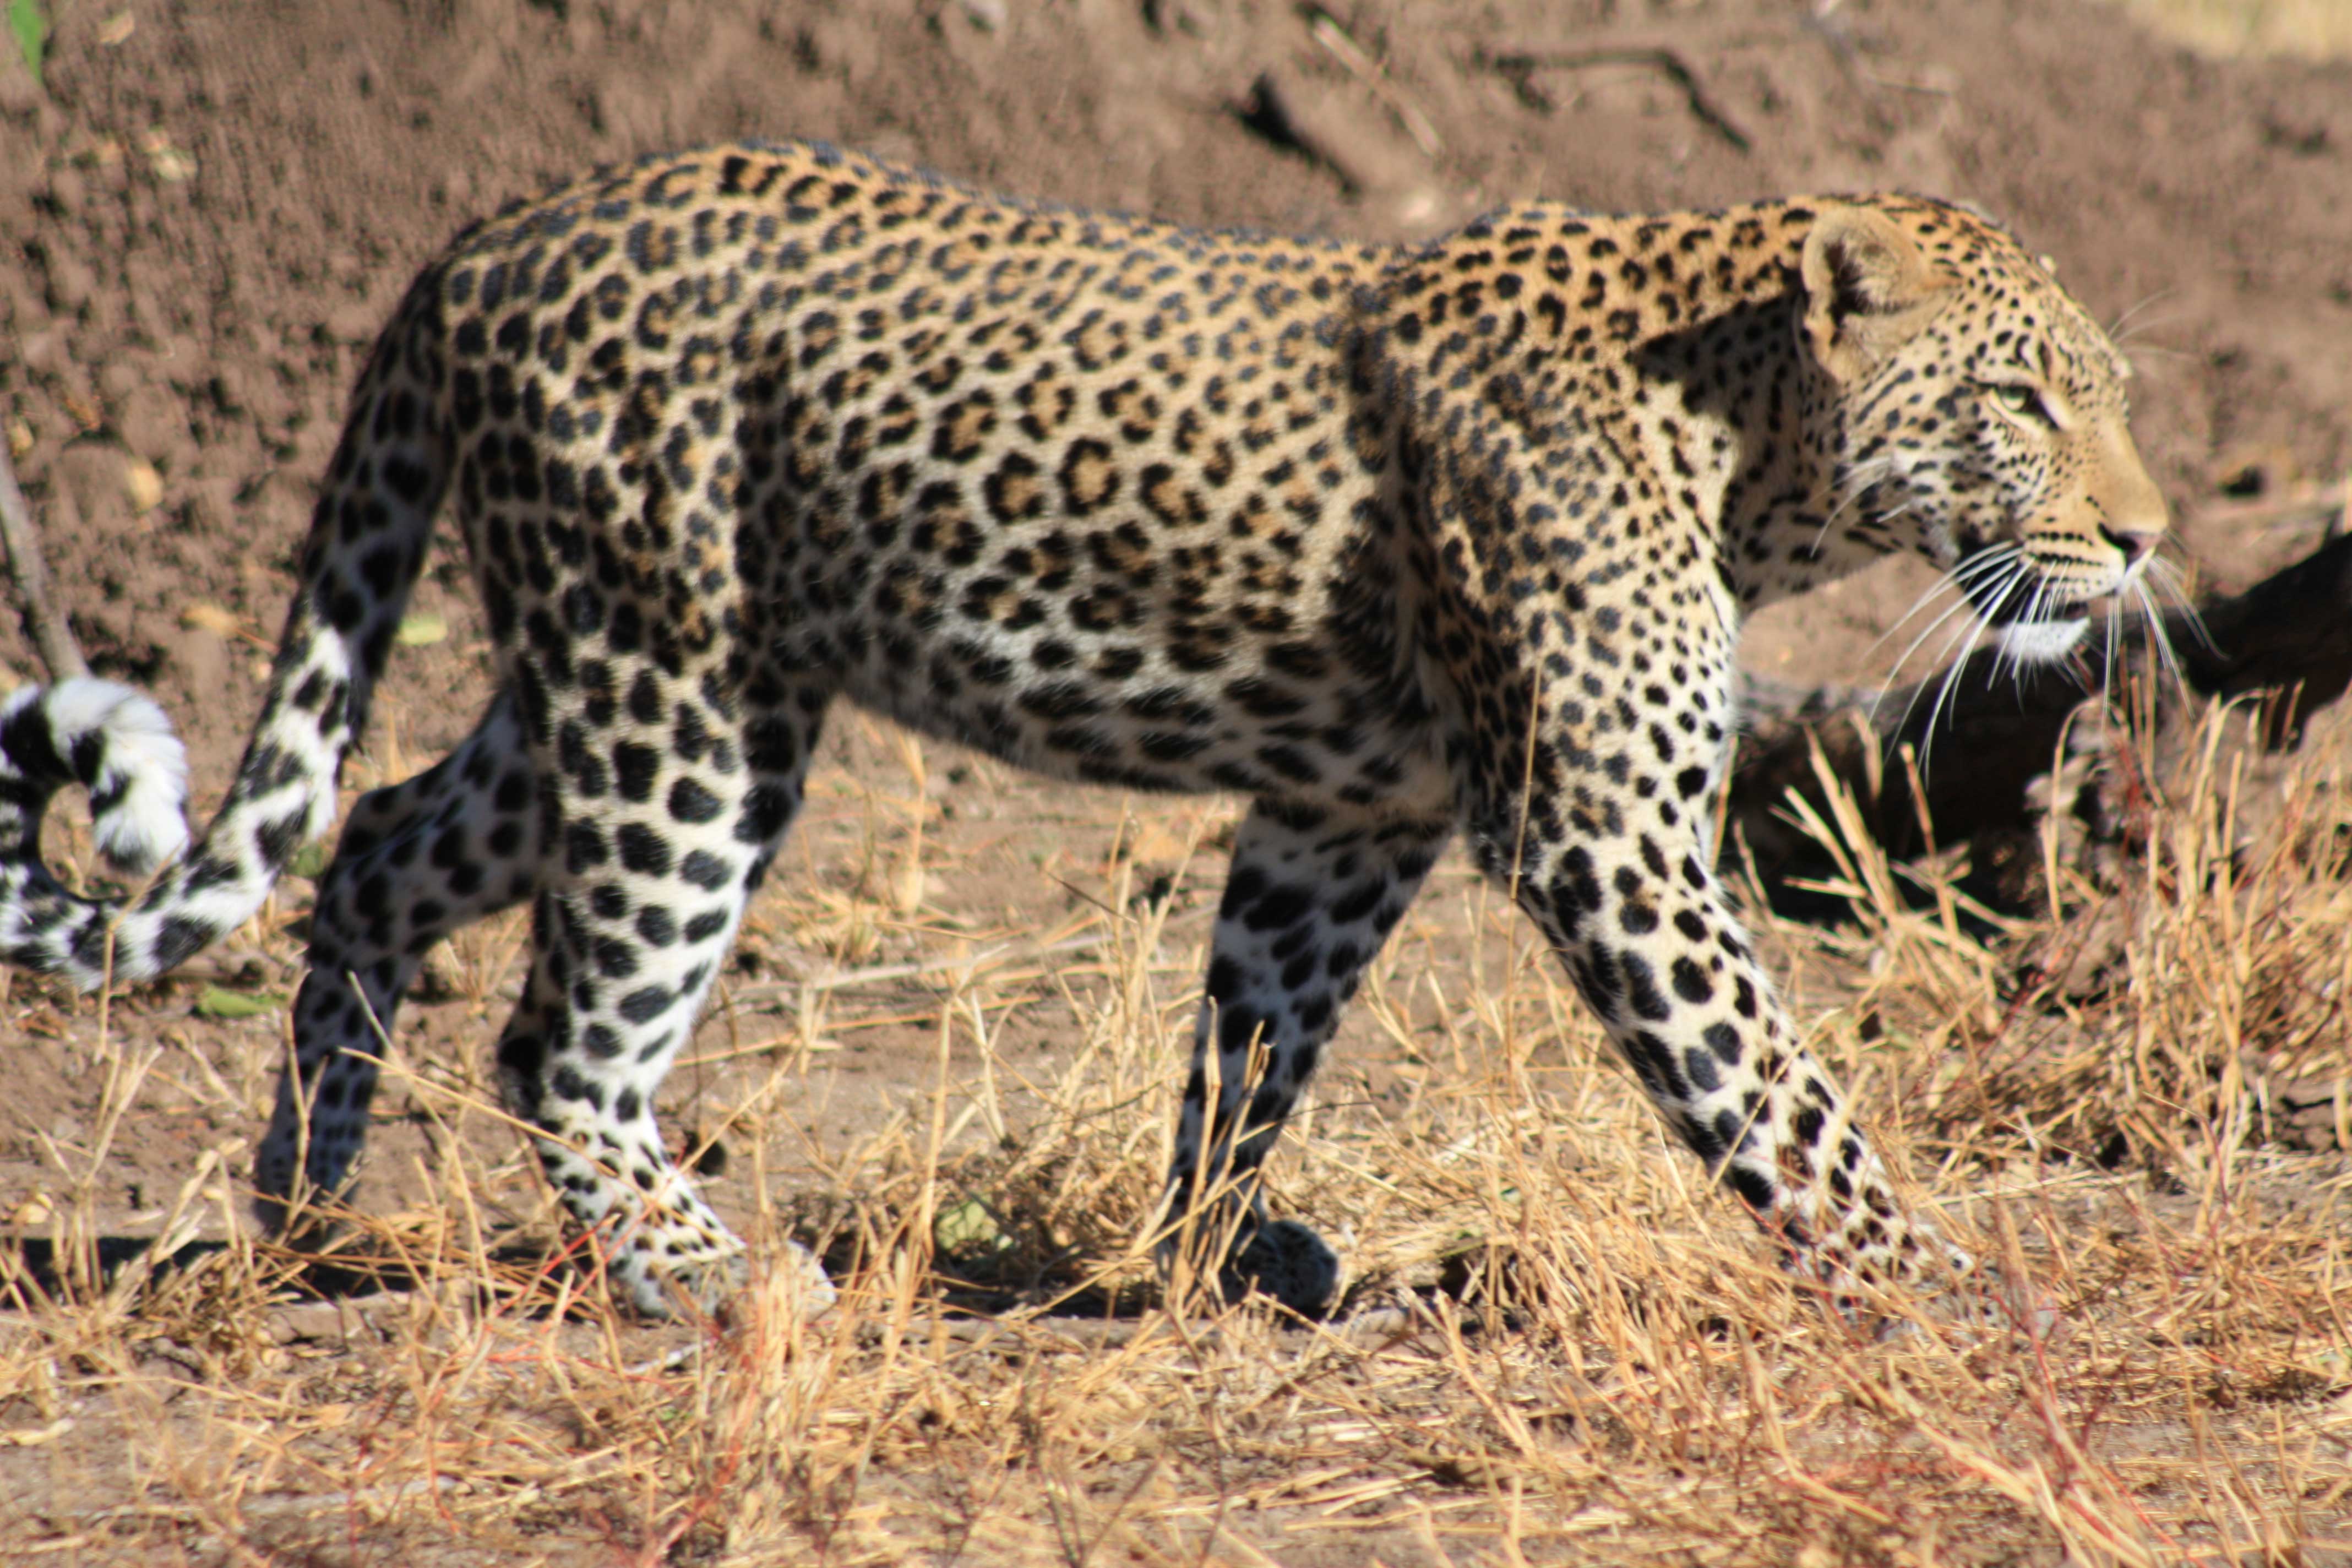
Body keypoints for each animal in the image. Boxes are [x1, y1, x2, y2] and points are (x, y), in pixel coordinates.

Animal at [4, 144, 2164, 1326]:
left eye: (2110, 393)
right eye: (2022, 402)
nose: (2144, 538)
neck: (1746, 445)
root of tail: (488, 236)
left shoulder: (1340, 819)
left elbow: (1250, 1044)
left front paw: (1209, 1257)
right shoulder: (1604, 834)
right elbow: (1778, 1094)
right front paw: (1934, 1285)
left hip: (601, 681)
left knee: (371, 846)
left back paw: (306, 1208)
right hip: (683, 697)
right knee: (560, 1032)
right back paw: (704, 1277)